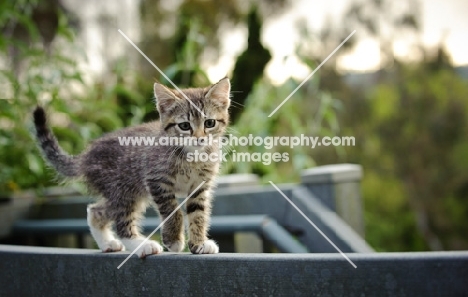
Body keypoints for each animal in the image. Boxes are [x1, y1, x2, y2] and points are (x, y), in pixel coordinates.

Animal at [33, 77, 230, 256]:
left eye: (209, 123)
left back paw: (108, 243)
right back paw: (142, 245)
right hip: (124, 190)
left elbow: (198, 214)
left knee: (96, 211)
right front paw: (173, 240)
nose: (199, 139)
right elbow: (173, 211)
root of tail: (86, 156)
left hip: (127, 193)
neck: (192, 157)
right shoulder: (155, 179)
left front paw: (199, 243)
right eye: (184, 126)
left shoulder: (199, 186)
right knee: (121, 223)